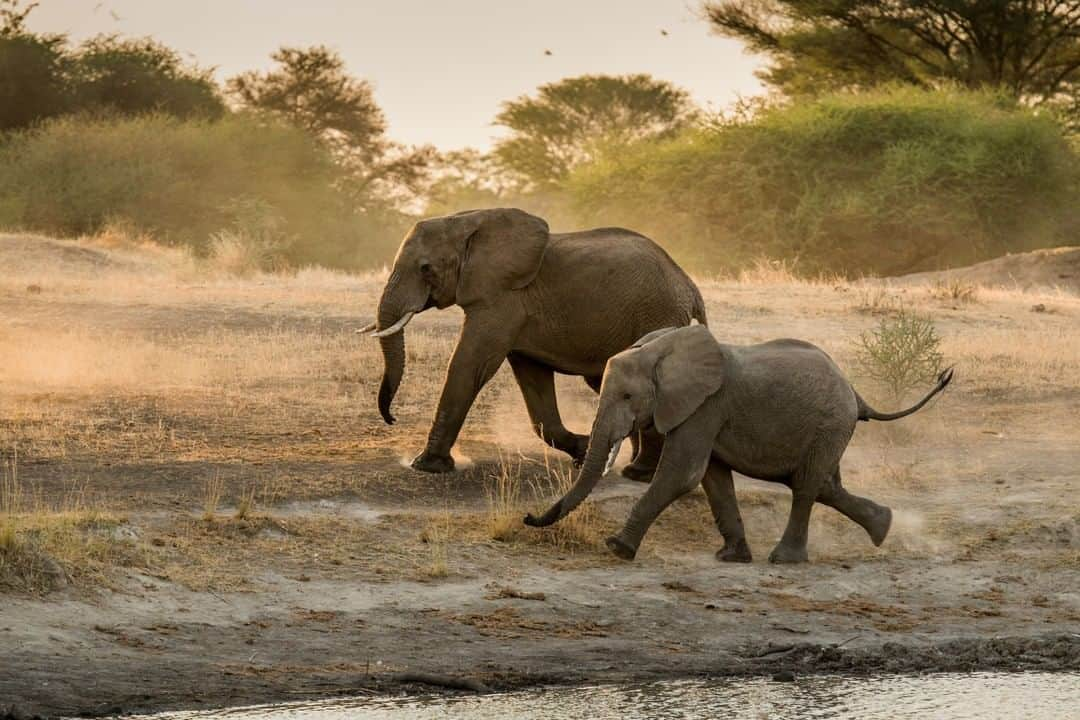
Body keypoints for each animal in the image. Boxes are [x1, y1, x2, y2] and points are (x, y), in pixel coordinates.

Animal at [365, 208, 708, 474]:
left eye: (426, 269)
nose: (392, 419)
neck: (466, 221)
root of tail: (689, 285)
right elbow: (533, 381)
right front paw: (583, 451)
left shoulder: (502, 300)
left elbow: (470, 365)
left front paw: (426, 466)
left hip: (658, 314)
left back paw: (639, 472)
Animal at [522, 323, 954, 565]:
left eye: (628, 397)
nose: (527, 518)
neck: (661, 349)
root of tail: (856, 394)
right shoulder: (703, 413)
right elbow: (712, 479)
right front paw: (731, 558)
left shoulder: (705, 405)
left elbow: (683, 474)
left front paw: (616, 549)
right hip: (831, 428)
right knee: (825, 486)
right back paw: (884, 526)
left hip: (830, 423)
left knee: (807, 486)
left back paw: (785, 561)